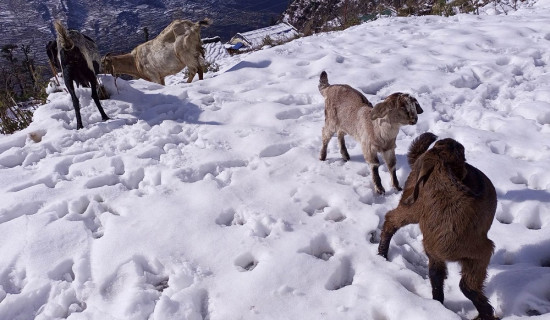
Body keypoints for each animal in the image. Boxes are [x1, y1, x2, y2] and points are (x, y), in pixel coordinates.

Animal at [380, 132, 500, 320]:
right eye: (459, 153)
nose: (452, 141)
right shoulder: (479, 253)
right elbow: (458, 284)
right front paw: (486, 313)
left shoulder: (464, 254)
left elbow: (443, 281)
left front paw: (439, 306)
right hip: (413, 206)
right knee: (392, 219)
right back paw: (382, 253)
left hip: (413, 205)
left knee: (392, 218)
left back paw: (382, 254)